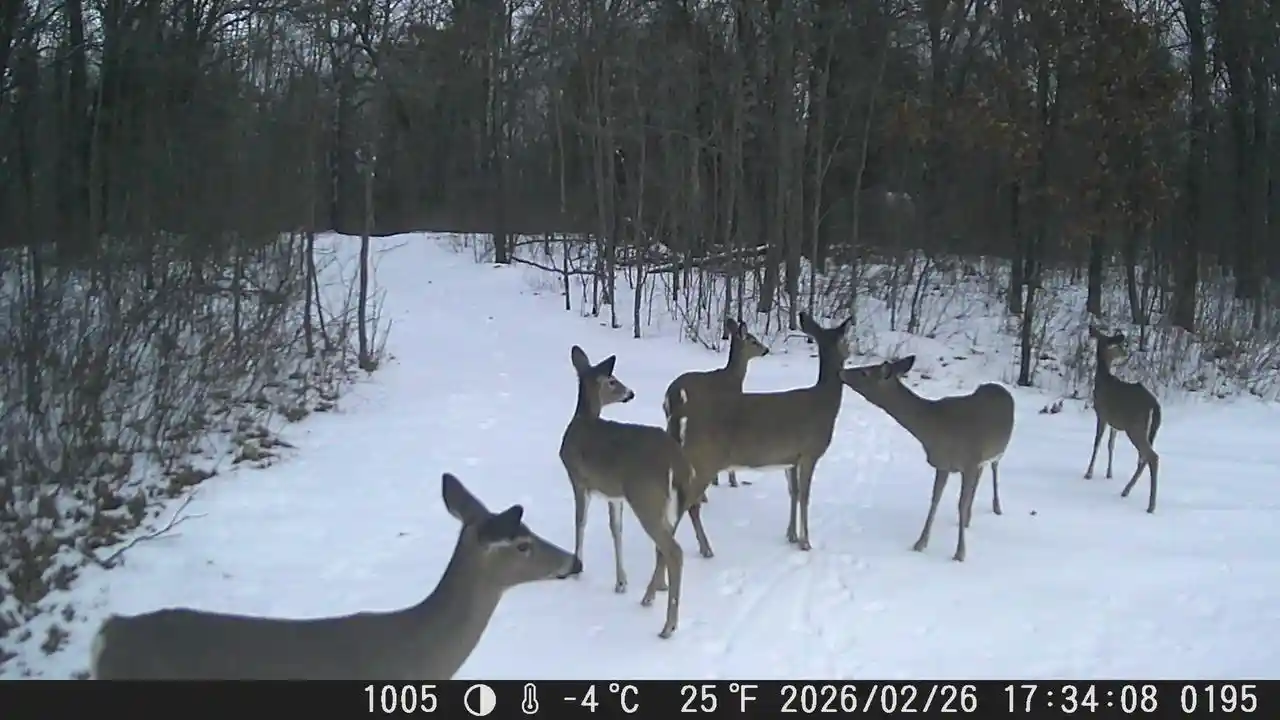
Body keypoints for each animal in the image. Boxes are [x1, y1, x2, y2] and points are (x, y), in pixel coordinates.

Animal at [559, 345, 711, 639]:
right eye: (612, 381)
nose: (630, 393)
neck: (582, 422)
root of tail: (677, 461)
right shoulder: (614, 494)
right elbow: (615, 530)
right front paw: (621, 582)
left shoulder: (579, 479)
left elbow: (580, 522)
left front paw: (576, 569)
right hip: (667, 501)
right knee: (667, 544)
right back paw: (654, 593)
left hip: (645, 497)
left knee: (674, 551)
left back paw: (667, 626)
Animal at [663, 317, 771, 496]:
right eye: (753, 341)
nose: (766, 350)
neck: (734, 379)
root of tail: (675, 393)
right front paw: (732, 482)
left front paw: (716, 480)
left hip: (670, 419)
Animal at [839, 356, 1014, 563]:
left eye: (864, 372)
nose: (841, 371)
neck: (933, 429)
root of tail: (1001, 388)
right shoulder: (943, 464)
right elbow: (935, 500)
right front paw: (920, 543)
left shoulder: (969, 461)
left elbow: (960, 504)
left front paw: (960, 553)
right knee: (980, 477)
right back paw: (969, 520)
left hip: (999, 450)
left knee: (994, 467)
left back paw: (997, 508)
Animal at [1083, 326, 1162, 514]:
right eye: (1118, 346)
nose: (1126, 354)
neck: (1103, 380)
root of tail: (1155, 406)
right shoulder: (1115, 423)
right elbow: (1110, 445)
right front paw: (1108, 474)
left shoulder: (1102, 414)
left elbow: (1097, 443)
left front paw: (1088, 473)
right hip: (1147, 430)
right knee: (1144, 457)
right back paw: (1126, 491)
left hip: (1135, 427)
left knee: (1152, 457)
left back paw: (1150, 506)